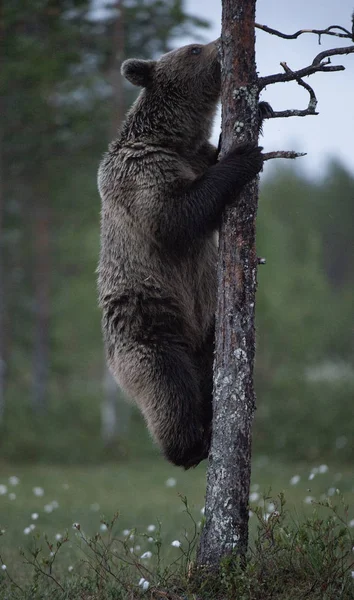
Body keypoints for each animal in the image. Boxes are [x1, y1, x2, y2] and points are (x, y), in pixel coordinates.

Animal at [97, 38, 262, 468]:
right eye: (193, 49)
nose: (221, 42)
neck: (173, 140)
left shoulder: (194, 155)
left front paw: (262, 111)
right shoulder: (141, 172)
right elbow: (175, 216)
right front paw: (245, 155)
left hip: (208, 326)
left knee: (212, 371)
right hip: (149, 326)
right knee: (169, 387)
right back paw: (189, 446)